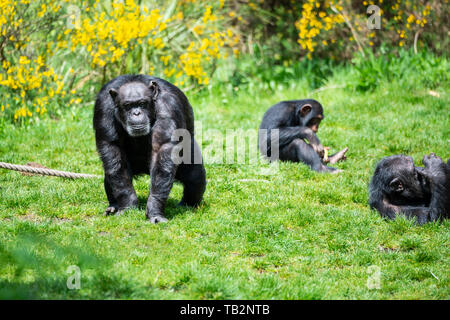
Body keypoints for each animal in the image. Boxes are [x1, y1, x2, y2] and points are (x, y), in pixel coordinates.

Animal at [96, 75, 208, 224]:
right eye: (127, 105)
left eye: (142, 103)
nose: (136, 113)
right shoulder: (103, 107)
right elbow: (112, 148)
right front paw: (127, 206)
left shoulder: (168, 106)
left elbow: (162, 151)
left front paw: (155, 210)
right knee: (111, 173)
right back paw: (113, 206)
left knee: (195, 176)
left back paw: (187, 205)